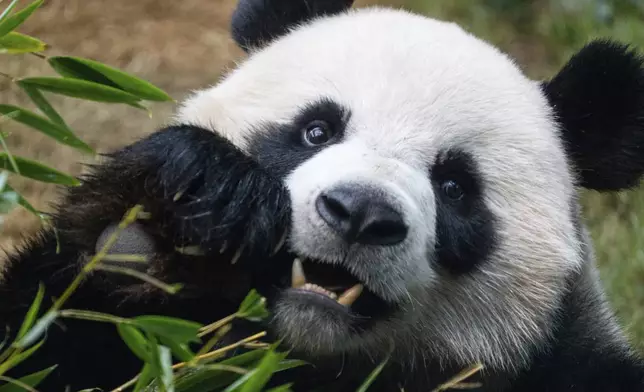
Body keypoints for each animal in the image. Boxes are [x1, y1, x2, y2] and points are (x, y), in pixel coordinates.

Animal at [1, 0, 644, 390]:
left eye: (455, 185)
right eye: (316, 130)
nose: (360, 214)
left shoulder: (564, 362)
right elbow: (41, 338)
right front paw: (169, 222)